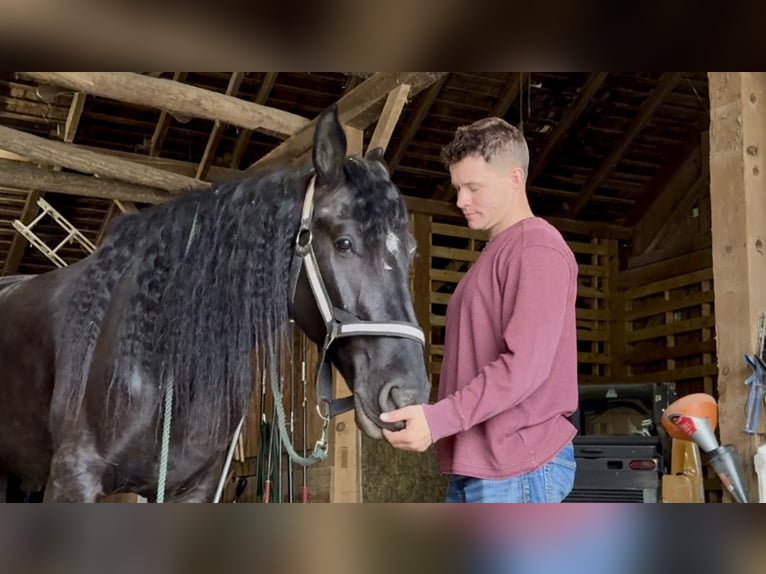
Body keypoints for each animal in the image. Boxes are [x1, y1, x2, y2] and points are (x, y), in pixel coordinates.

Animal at [0, 105, 430, 502]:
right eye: (344, 243)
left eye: (411, 250)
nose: (407, 398)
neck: (163, 361)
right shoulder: (74, 478)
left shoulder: (196, 488)